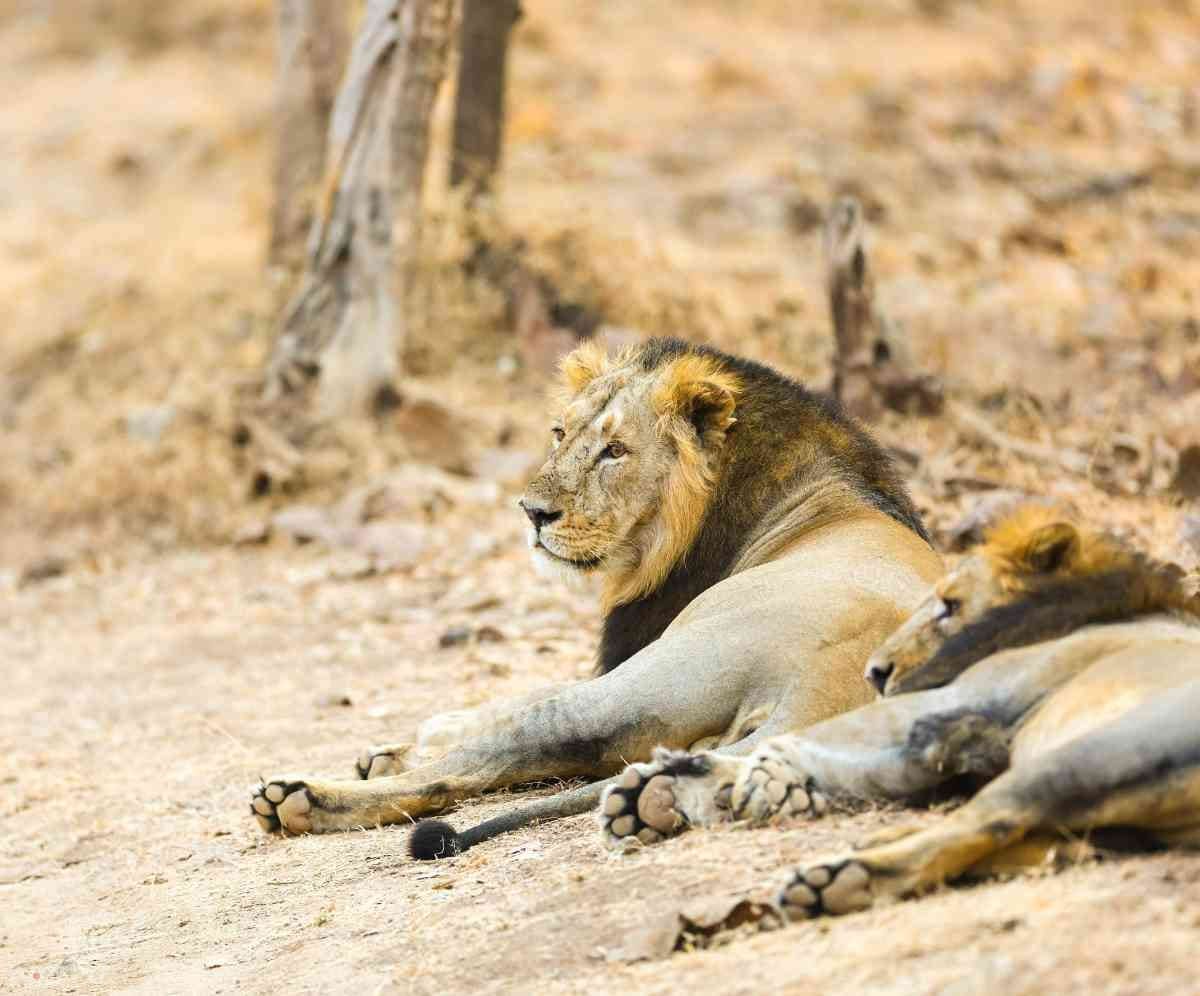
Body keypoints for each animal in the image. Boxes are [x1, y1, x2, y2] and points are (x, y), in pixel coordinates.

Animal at [250, 338, 945, 854]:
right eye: (560, 432)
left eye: (614, 451)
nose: (532, 513)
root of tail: (826, 690)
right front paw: (386, 749)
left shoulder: (627, 652)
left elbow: (500, 705)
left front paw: (405, 743)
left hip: (650, 680)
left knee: (485, 758)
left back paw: (300, 798)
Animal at [600, 506, 1200, 921]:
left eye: (950, 605)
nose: (876, 672)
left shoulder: (957, 699)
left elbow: (817, 738)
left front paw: (681, 785)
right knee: (1012, 841)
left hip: (1080, 760)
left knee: (979, 826)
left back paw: (838, 879)